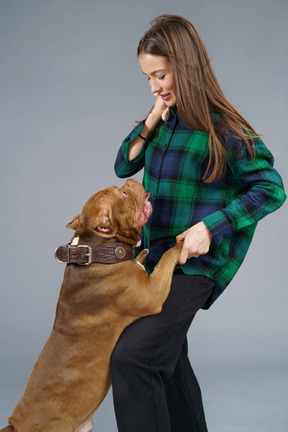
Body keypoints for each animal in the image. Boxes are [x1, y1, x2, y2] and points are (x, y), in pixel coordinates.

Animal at [1, 178, 182, 432]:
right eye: (123, 193)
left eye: (120, 187)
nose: (131, 180)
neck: (95, 249)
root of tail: (14, 425)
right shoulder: (153, 292)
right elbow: (167, 258)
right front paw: (183, 242)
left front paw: (144, 253)